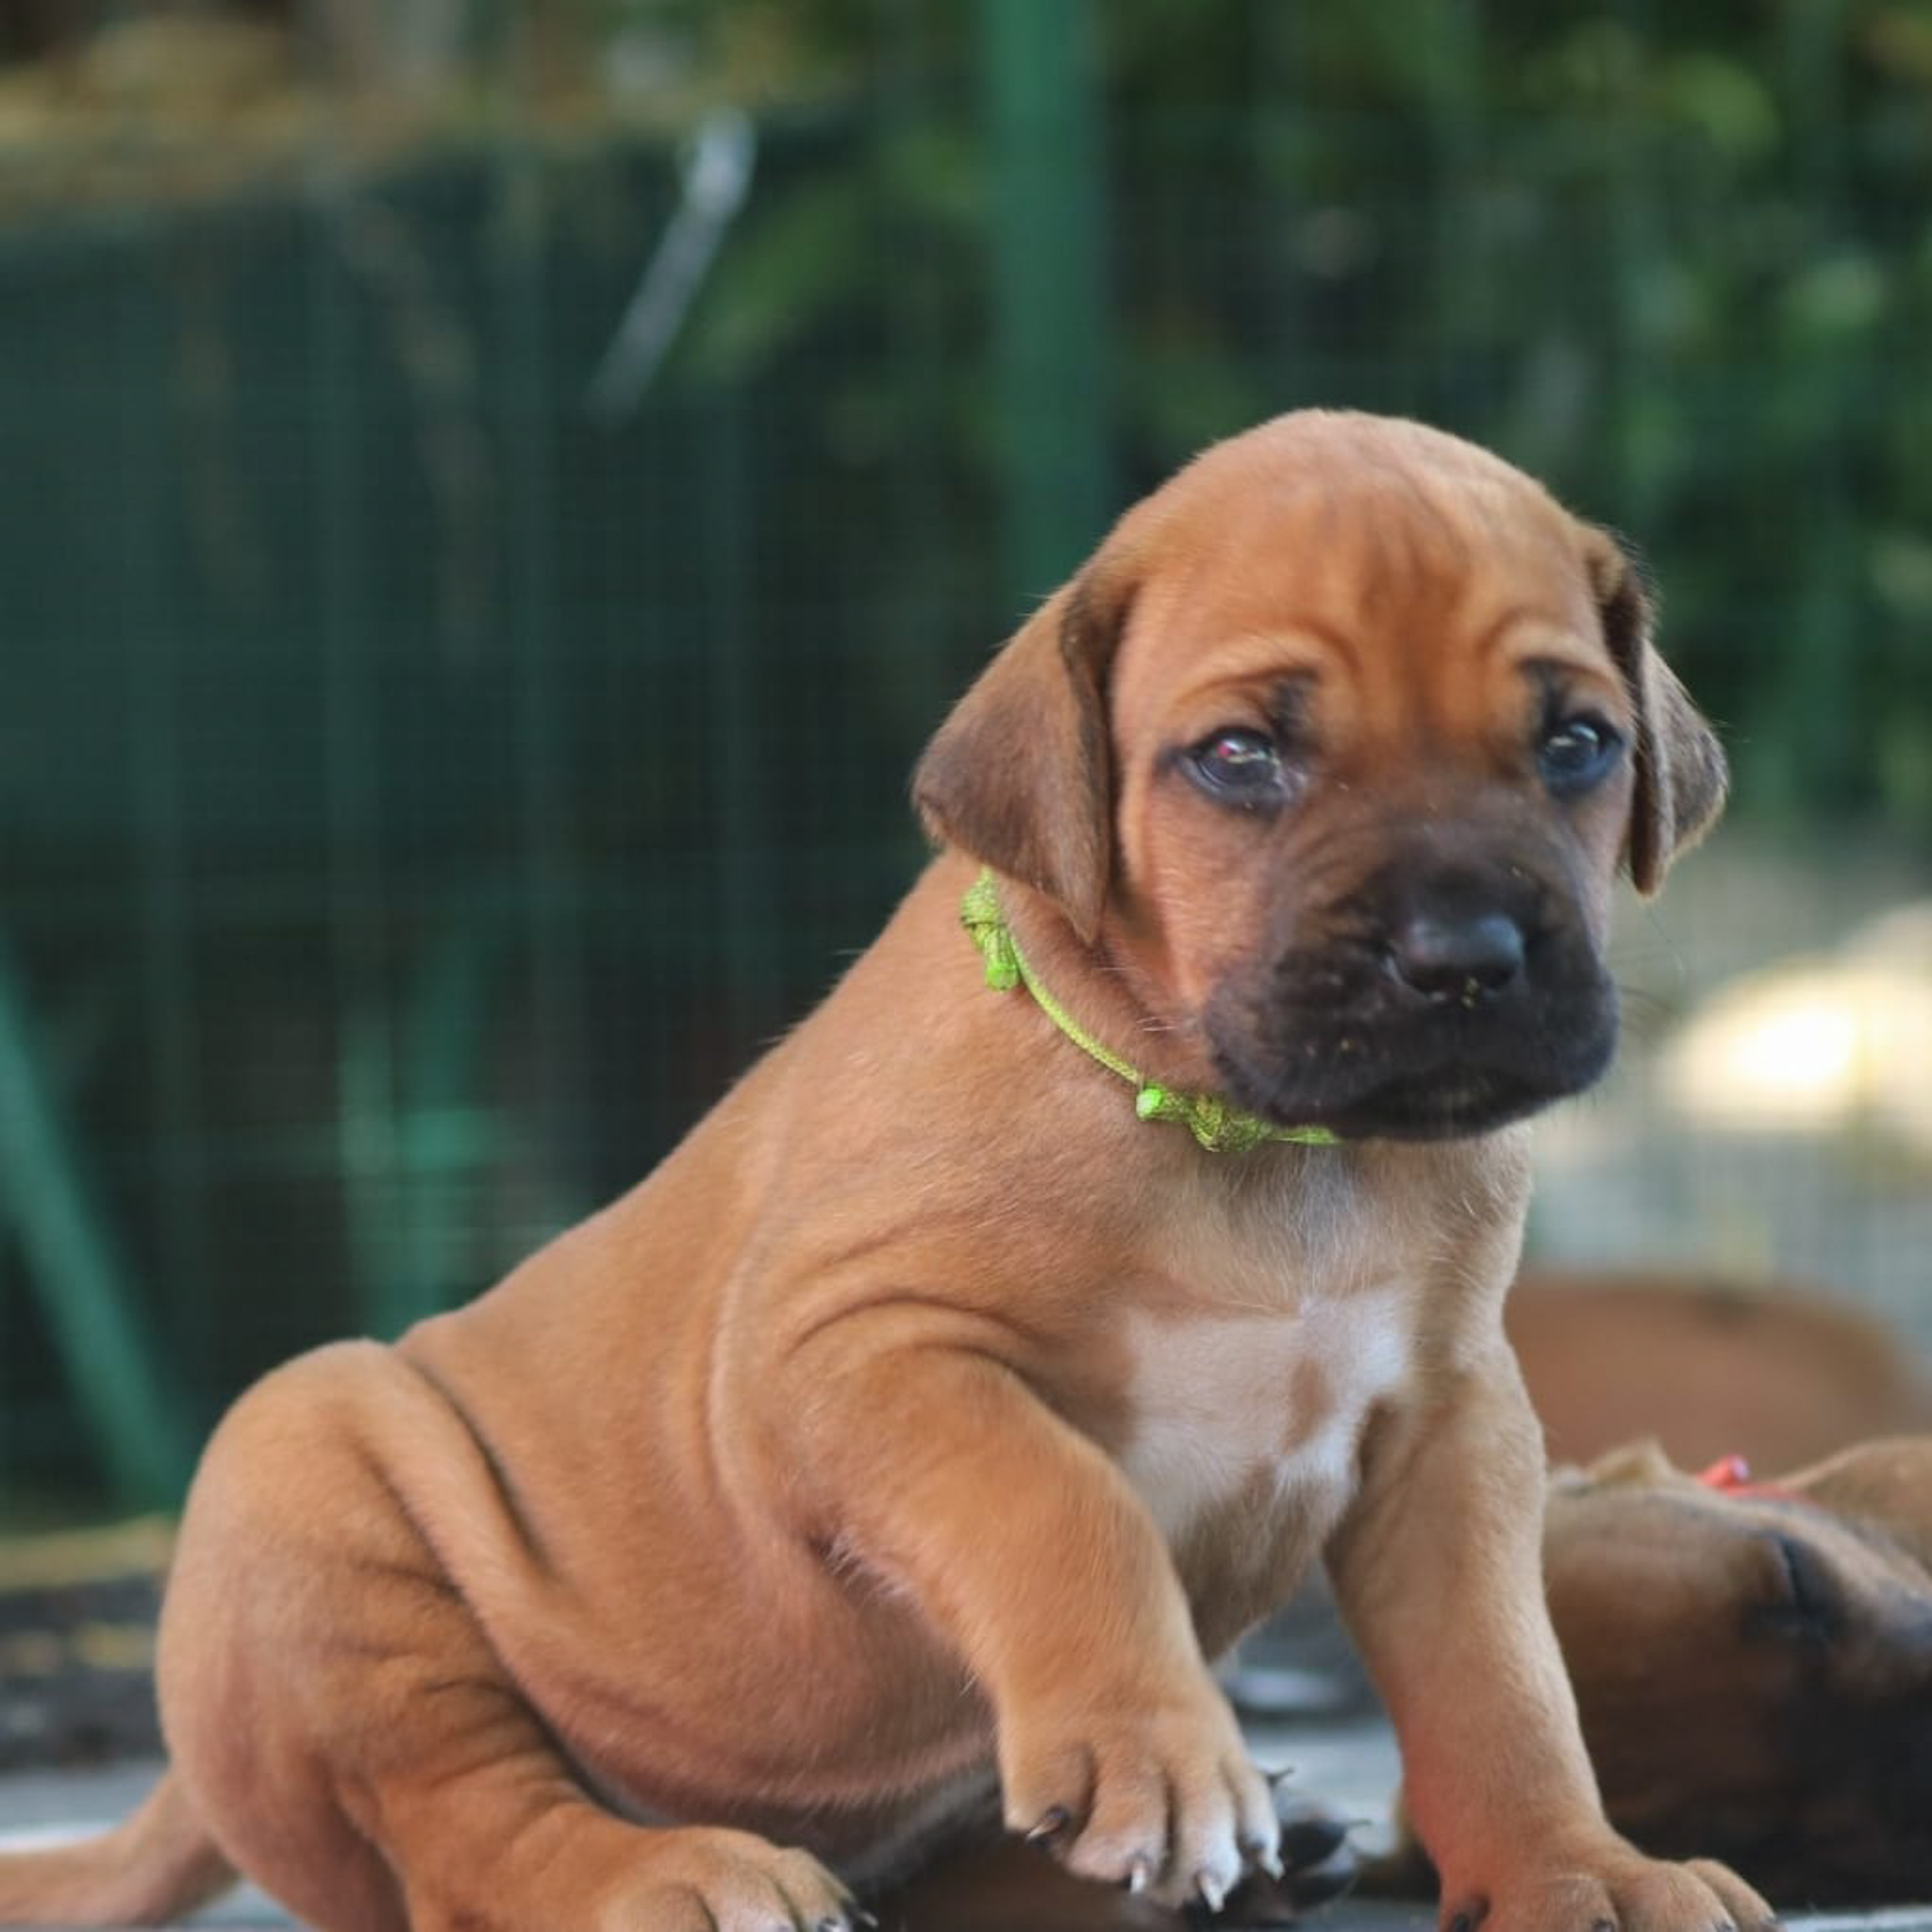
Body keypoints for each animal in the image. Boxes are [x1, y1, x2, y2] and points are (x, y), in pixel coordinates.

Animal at [0, 411, 1769, 1932]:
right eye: (1240, 757)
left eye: (1576, 742)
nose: (1462, 957)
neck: (1251, 1142)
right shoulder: (857, 1355)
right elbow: (1060, 1504)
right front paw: (1154, 1741)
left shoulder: (1448, 1427)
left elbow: (1502, 1680)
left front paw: (1575, 1868)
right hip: (307, 1470)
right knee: (468, 1832)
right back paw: (672, 1871)